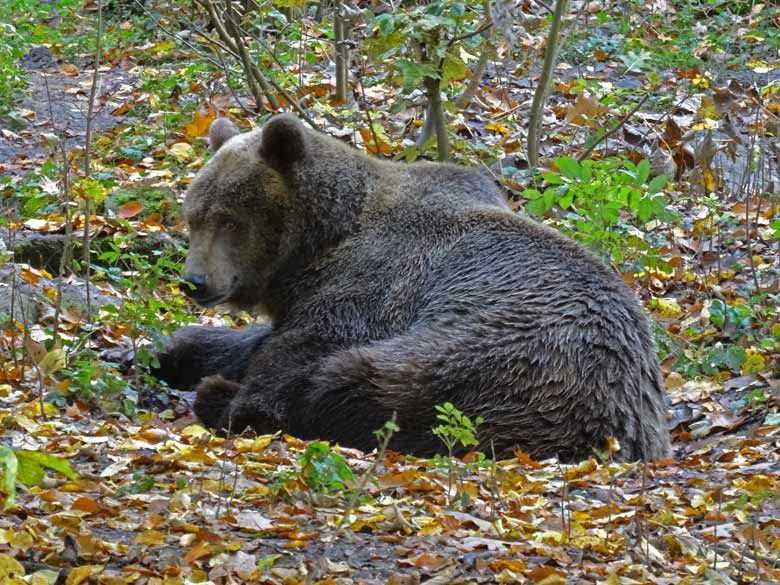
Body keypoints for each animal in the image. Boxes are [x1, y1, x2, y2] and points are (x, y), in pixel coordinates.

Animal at [155, 114, 672, 460]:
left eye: (229, 220)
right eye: (193, 217)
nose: (195, 281)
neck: (321, 239)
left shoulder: (376, 279)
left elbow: (302, 346)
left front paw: (231, 395)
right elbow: (252, 340)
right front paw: (174, 349)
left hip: (501, 358)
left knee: (356, 382)